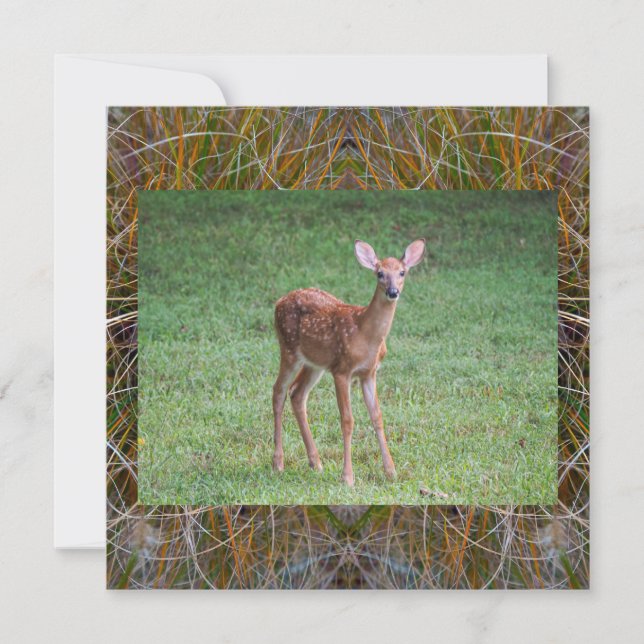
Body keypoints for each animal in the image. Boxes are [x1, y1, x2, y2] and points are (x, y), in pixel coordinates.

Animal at [272, 238, 426, 486]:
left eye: (402, 272)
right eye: (380, 273)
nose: (393, 292)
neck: (365, 334)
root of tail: (278, 302)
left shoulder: (369, 373)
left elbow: (377, 417)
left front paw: (391, 471)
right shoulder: (342, 370)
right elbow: (347, 420)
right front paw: (347, 477)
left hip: (314, 363)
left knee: (297, 393)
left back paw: (316, 463)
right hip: (288, 349)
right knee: (278, 391)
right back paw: (278, 463)